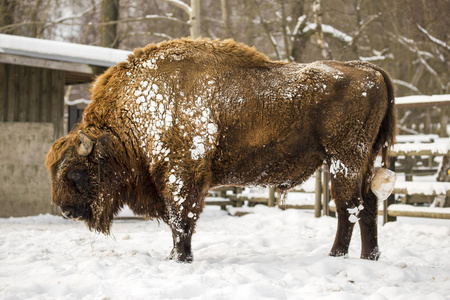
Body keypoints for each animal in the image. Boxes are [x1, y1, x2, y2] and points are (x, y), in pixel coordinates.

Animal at [46, 38, 394, 262]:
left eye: (75, 171)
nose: (65, 210)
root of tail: (370, 70)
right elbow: (176, 222)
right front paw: (173, 256)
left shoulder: (181, 175)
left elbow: (181, 218)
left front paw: (181, 258)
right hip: (362, 161)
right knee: (368, 204)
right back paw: (369, 257)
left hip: (344, 158)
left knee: (349, 206)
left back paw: (336, 255)